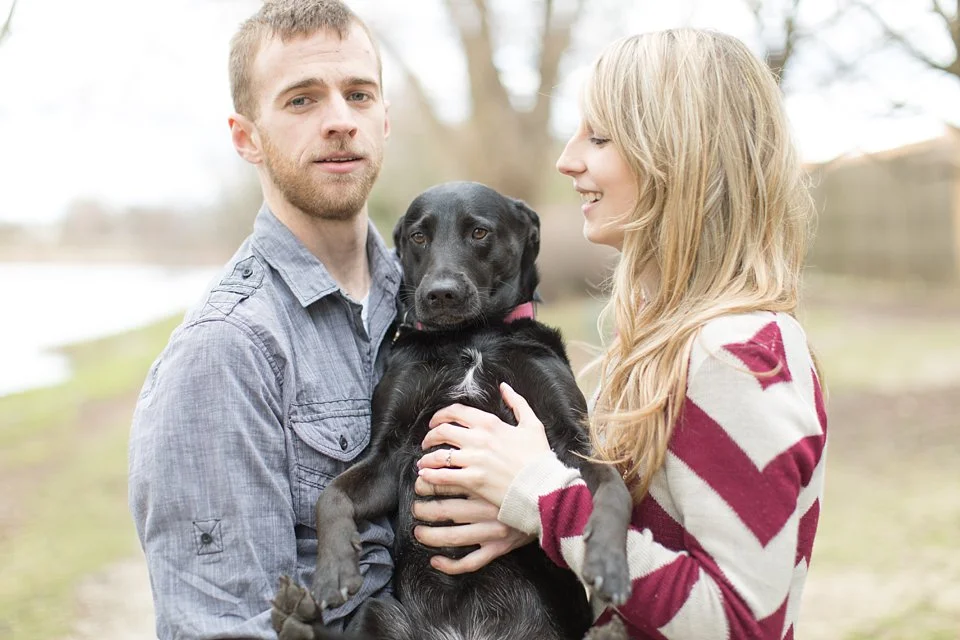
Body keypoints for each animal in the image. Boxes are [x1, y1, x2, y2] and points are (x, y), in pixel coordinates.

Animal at [271, 181, 632, 640]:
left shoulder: (570, 439)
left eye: (479, 232)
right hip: (380, 614)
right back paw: (297, 618)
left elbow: (613, 488)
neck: (471, 336)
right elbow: (331, 496)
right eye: (418, 237)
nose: (440, 294)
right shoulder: (389, 453)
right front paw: (334, 570)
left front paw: (608, 558)